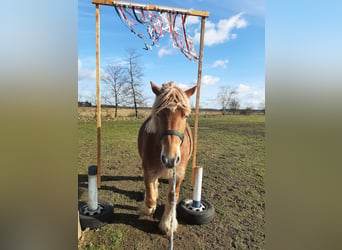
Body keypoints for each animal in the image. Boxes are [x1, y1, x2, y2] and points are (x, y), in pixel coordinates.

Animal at [138, 81, 196, 235]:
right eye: (158, 114)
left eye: (185, 115)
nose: (170, 159)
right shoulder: (148, 170)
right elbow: (150, 198)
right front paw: (148, 208)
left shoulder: (179, 173)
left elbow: (172, 197)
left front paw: (168, 223)